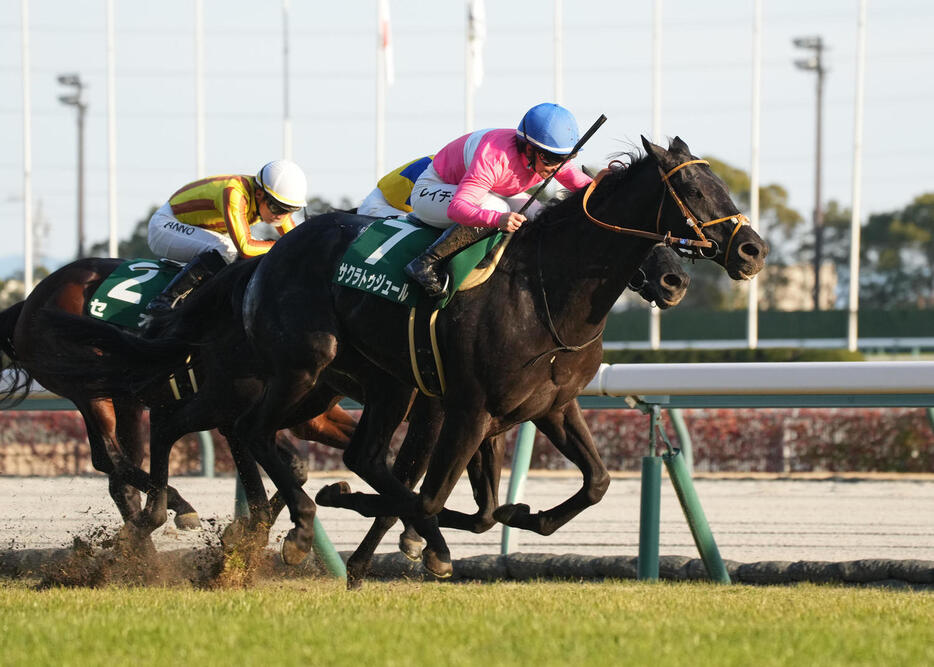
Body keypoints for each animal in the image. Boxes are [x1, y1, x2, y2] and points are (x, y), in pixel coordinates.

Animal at [225, 136, 768, 576]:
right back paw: (301, 529)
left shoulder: (547, 407)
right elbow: (431, 496)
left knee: (355, 454)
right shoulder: (468, 409)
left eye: (720, 184)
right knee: (256, 431)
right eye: (692, 190)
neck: (545, 291)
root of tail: (271, 253)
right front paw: (419, 542)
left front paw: (523, 514)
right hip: (305, 366)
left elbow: (585, 485)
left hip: (374, 386)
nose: (752, 250)